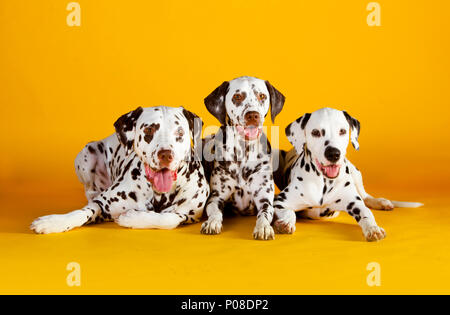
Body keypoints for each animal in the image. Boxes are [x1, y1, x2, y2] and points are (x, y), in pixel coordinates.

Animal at [29, 107, 209, 235]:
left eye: (180, 132)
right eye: (148, 130)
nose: (166, 154)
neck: (158, 195)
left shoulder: (190, 213)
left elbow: (169, 219)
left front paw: (133, 218)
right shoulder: (102, 204)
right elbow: (80, 213)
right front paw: (53, 222)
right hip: (87, 153)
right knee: (89, 191)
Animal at [200, 77, 284, 242]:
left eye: (262, 96)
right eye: (237, 97)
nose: (252, 115)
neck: (242, 153)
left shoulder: (264, 198)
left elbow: (265, 213)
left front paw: (263, 227)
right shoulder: (216, 197)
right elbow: (214, 211)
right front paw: (212, 222)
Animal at [272, 107, 424, 243]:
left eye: (342, 131)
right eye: (315, 132)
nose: (333, 153)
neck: (324, 183)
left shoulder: (355, 203)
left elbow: (366, 213)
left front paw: (373, 228)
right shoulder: (279, 202)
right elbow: (290, 212)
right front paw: (285, 223)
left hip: (355, 172)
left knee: (366, 197)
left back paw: (382, 202)